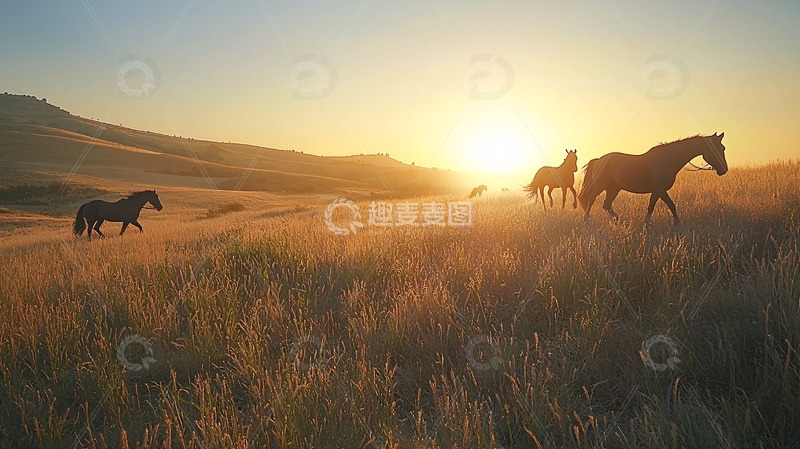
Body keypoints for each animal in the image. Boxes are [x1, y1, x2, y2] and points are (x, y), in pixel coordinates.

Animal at [578, 133, 727, 225]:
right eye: (717, 148)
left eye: (723, 148)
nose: (724, 169)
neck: (668, 160)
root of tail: (598, 160)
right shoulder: (660, 190)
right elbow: (671, 205)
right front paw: (677, 224)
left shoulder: (656, 192)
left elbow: (651, 207)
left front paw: (647, 224)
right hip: (600, 186)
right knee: (591, 199)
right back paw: (587, 220)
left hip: (613, 189)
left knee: (606, 205)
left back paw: (617, 220)